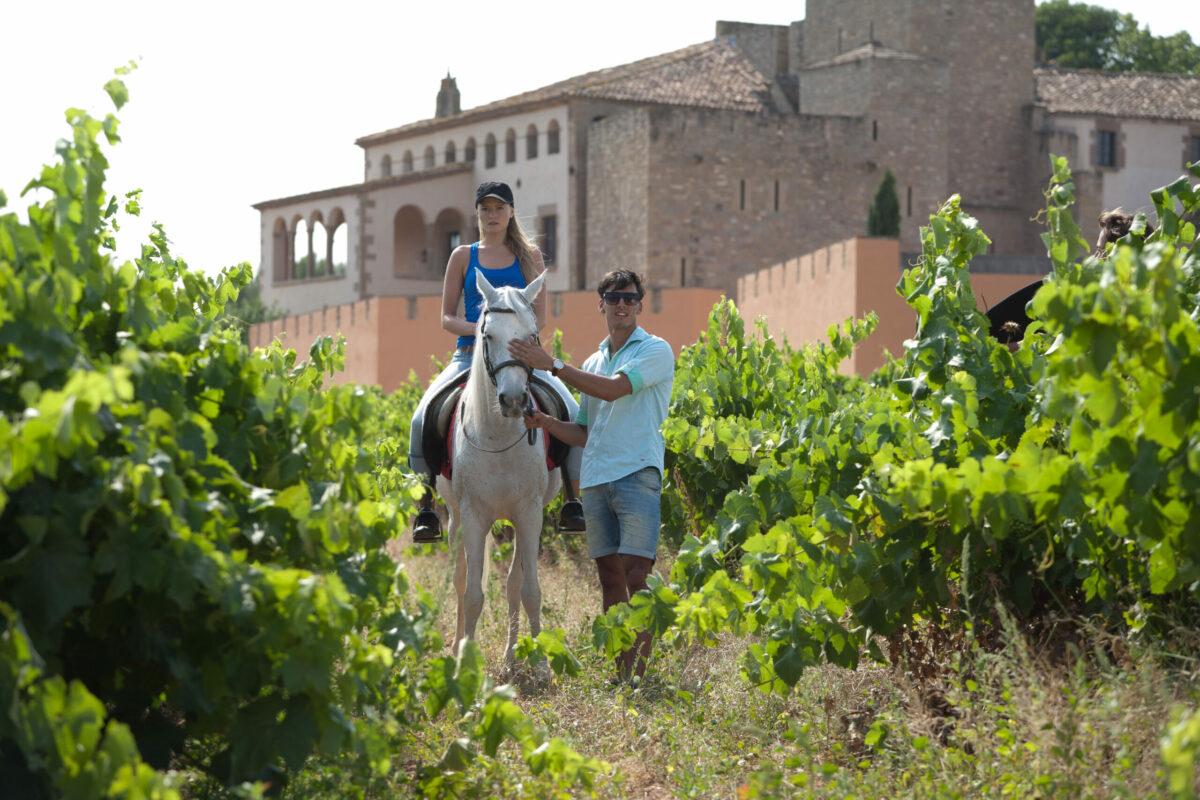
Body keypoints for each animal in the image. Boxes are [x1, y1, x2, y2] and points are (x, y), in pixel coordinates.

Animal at [439, 272, 559, 666]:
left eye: (533, 335)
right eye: (488, 335)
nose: (514, 400)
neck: (498, 437)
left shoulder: (530, 513)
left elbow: (529, 589)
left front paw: (539, 663)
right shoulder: (473, 515)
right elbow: (473, 593)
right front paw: (465, 660)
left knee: (512, 584)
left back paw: (510, 656)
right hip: (455, 518)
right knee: (461, 580)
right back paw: (458, 644)